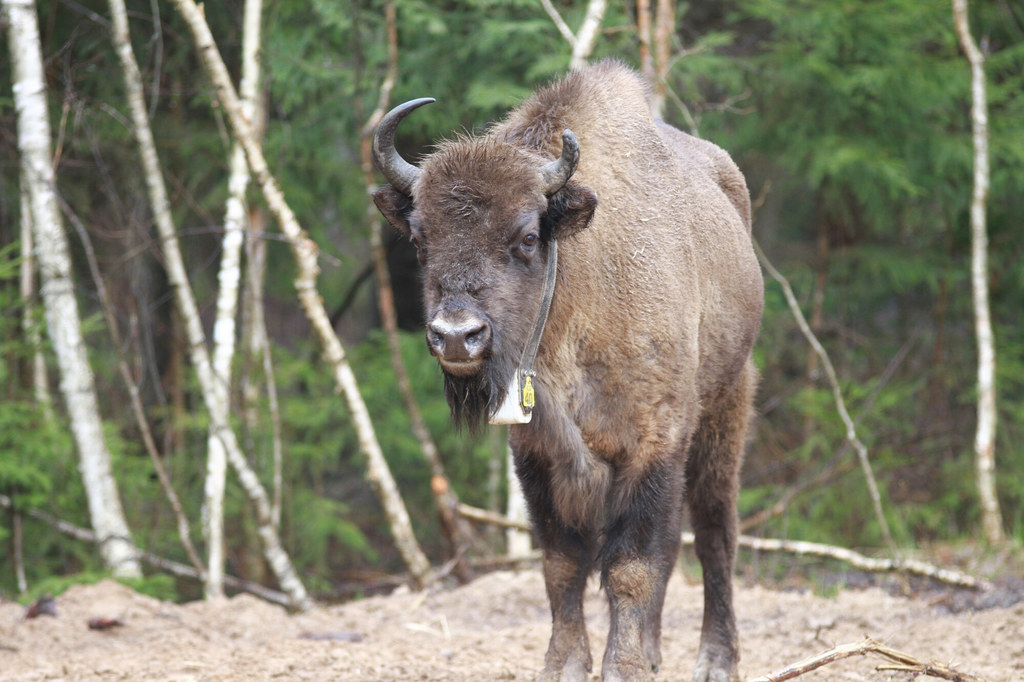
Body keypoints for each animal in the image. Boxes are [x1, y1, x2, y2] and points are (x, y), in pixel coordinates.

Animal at [372, 59, 765, 679]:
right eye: (418, 238)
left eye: (528, 237)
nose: (457, 335)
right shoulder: (537, 455)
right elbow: (562, 564)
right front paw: (567, 664)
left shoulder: (653, 444)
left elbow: (631, 565)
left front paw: (622, 665)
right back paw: (656, 651)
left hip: (726, 405)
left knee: (713, 530)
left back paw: (715, 659)